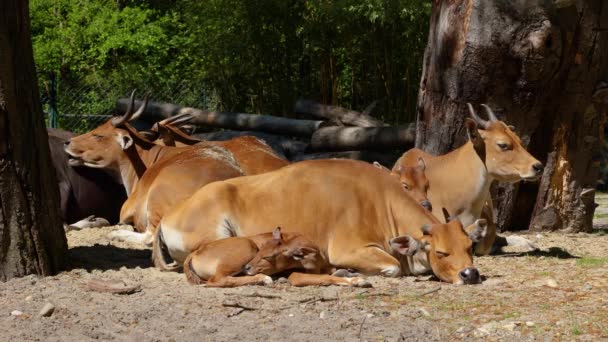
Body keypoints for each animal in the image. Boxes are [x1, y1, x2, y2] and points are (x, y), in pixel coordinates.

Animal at [182, 227, 370, 288]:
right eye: (262, 252)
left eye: (269, 256)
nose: (247, 267)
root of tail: (194, 253)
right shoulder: (296, 276)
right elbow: (326, 278)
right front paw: (357, 281)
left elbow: (335, 271)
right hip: (245, 247)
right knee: (218, 280)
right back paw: (263, 278)